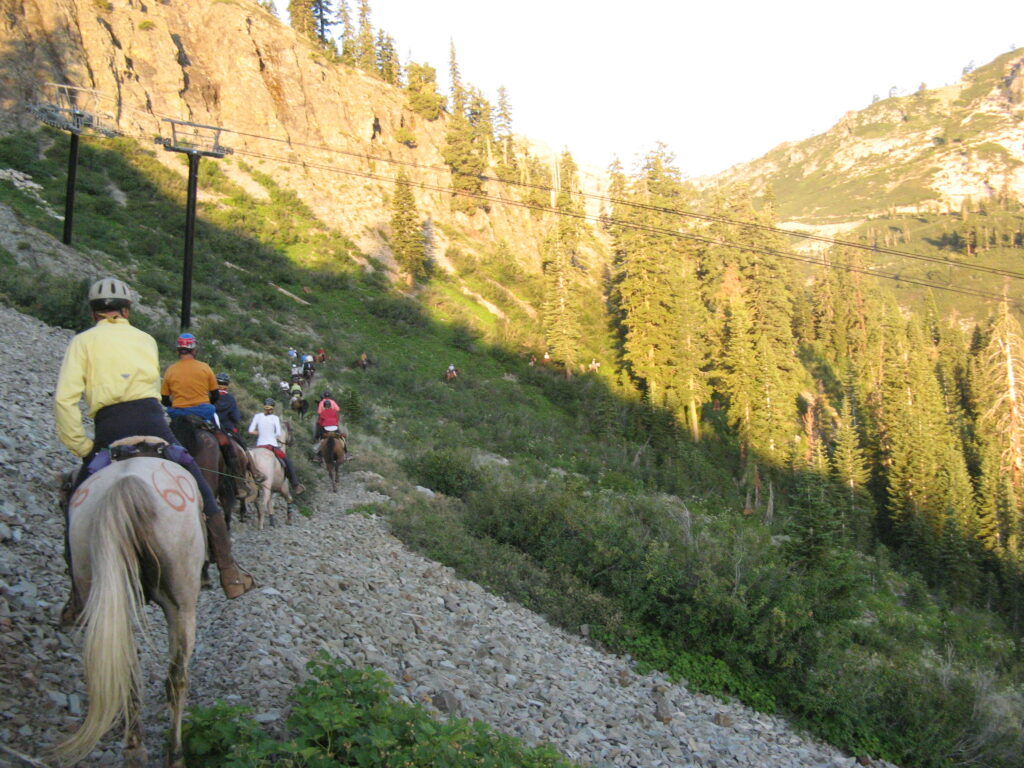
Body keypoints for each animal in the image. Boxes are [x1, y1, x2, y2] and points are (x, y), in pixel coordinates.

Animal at [54, 450, 205, 768]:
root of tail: (125, 485)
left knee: (130, 670)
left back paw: (136, 747)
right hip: (183, 605)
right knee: (177, 679)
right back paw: (173, 753)